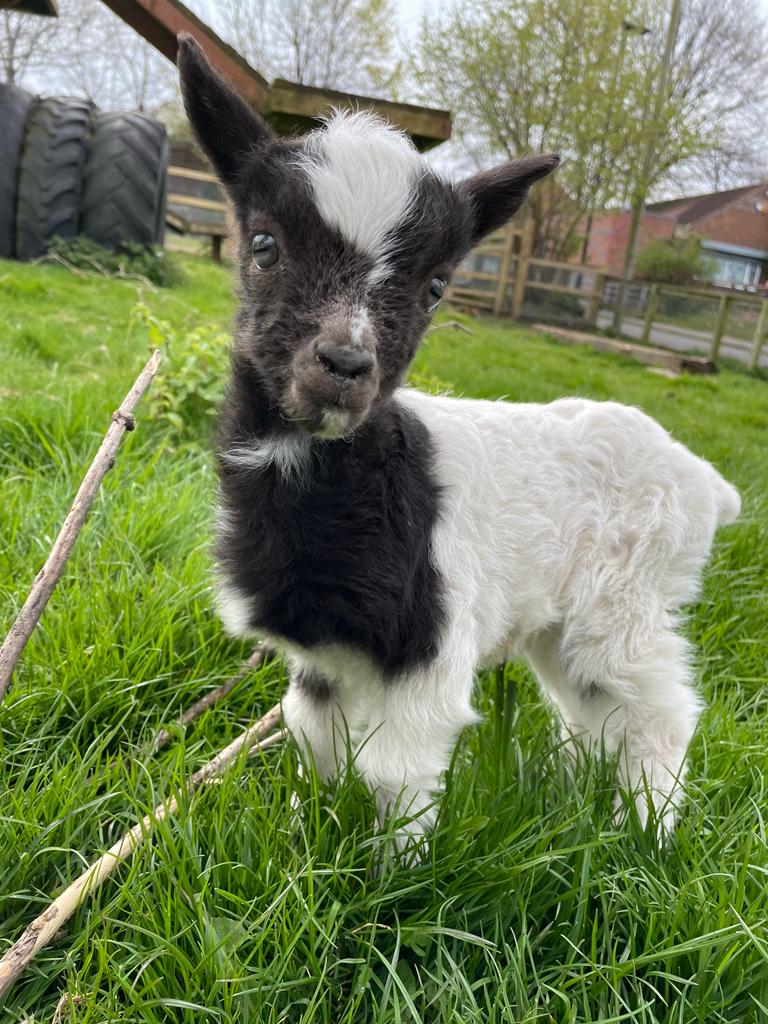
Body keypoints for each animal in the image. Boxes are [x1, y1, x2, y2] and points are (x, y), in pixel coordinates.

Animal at [177, 35, 740, 852]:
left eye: (436, 287)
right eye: (263, 245)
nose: (344, 366)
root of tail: (706, 481)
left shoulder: (430, 644)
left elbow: (398, 774)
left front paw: (391, 876)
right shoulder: (324, 660)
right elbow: (315, 745)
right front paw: (311, 846)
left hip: (629, 596)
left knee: (659, 710)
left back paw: (646, 834)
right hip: (562, 619)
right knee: (588, 710)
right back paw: (576, 805)